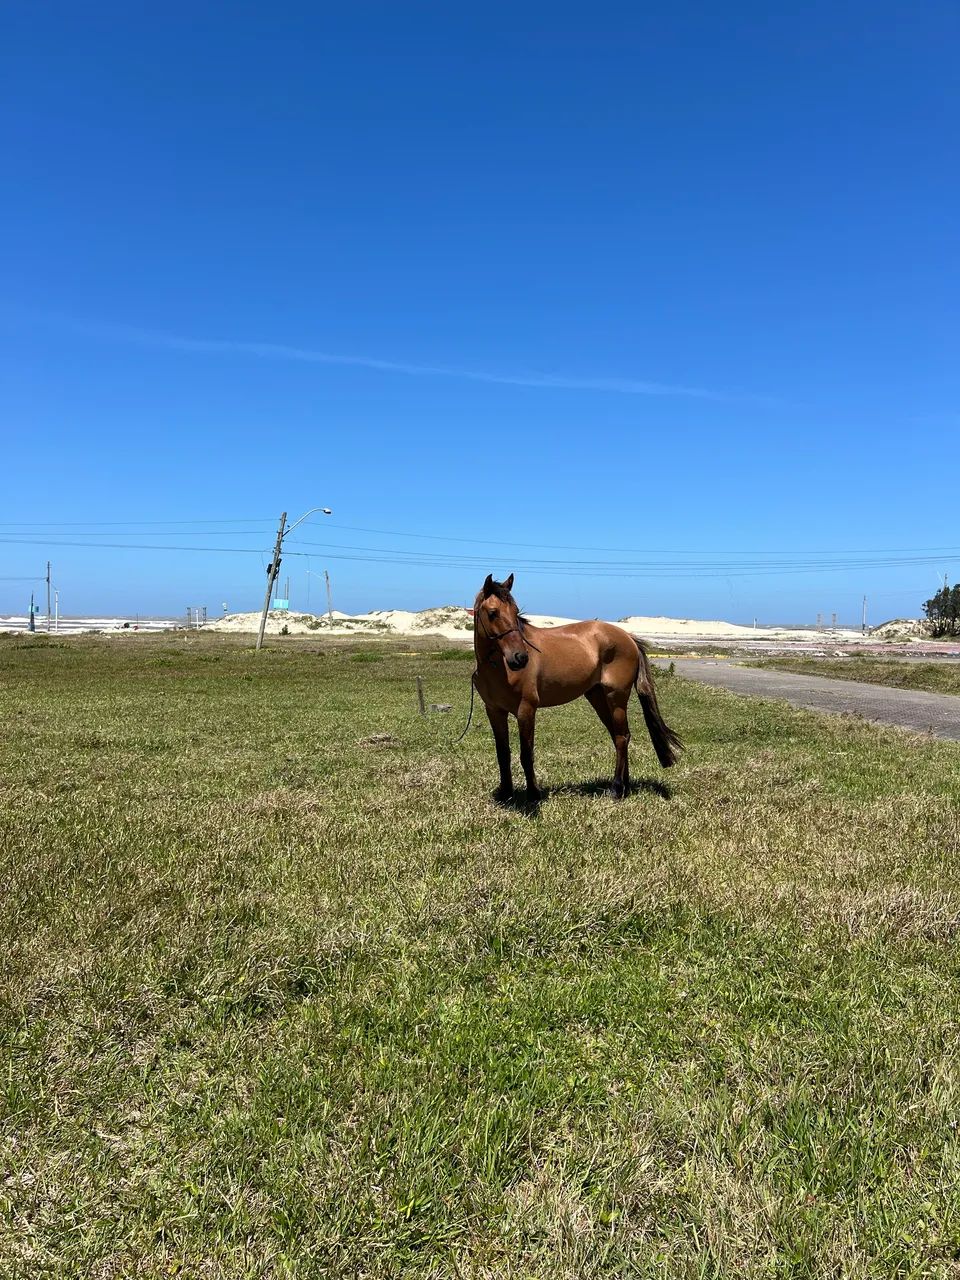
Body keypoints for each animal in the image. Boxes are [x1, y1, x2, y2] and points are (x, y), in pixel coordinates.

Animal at [472, 573, 681, 802]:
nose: (520, 658)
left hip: (616, 697)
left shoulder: (526, 709)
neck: (499, 668)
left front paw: (534, 794)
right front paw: (506, 792)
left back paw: (617, 788)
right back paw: (625, 786)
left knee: (621, 737)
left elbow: (526, 754)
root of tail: (628, 637)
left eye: (516, 611)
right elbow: (503, 753)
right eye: (493, 613)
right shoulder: (494, 711)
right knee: (619, 736)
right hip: (597, 697)